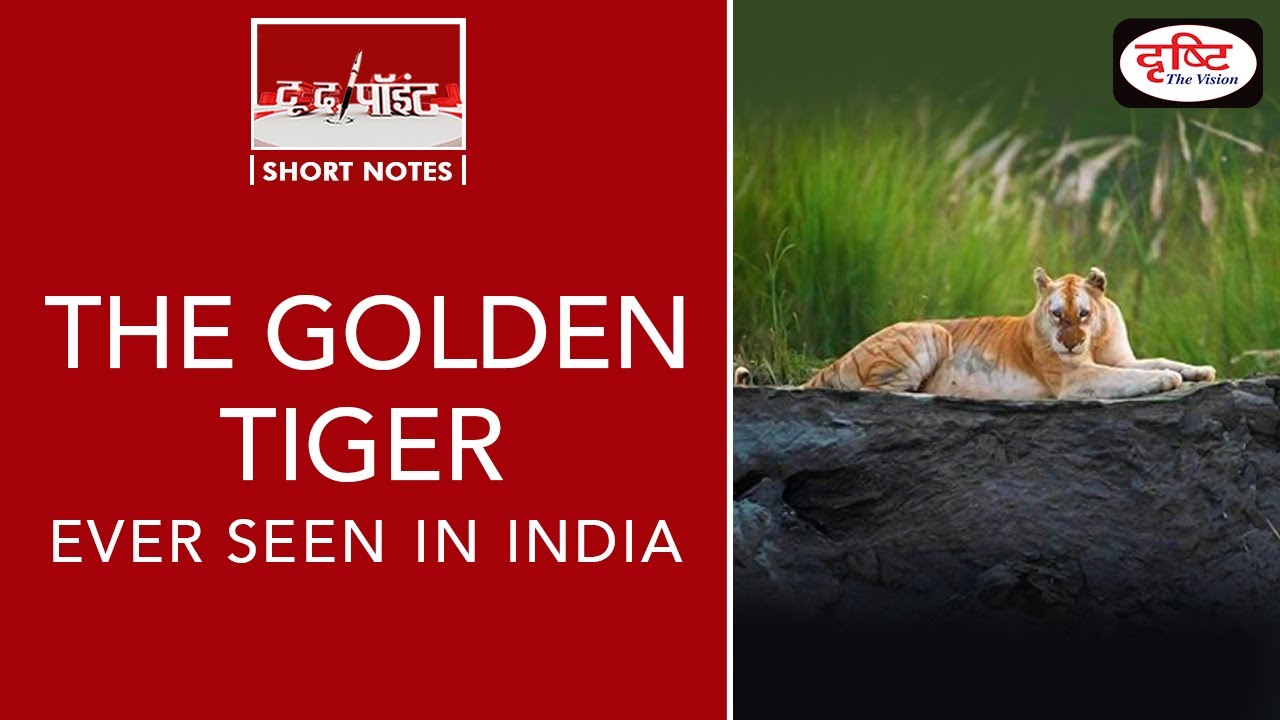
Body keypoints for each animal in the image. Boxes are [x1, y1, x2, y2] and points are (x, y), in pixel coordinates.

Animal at [795, 267, 1216, 400]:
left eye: (1083, 313)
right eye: (1057, 315)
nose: (1071, 343)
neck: (1095, 340)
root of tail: (838, 360)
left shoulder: (1121, 357)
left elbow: (1155, 360)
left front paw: (1200, 370)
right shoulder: (1073, 378)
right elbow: (1129, 377)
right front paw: (1168, 379)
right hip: (930, 333)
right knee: (877, 393)